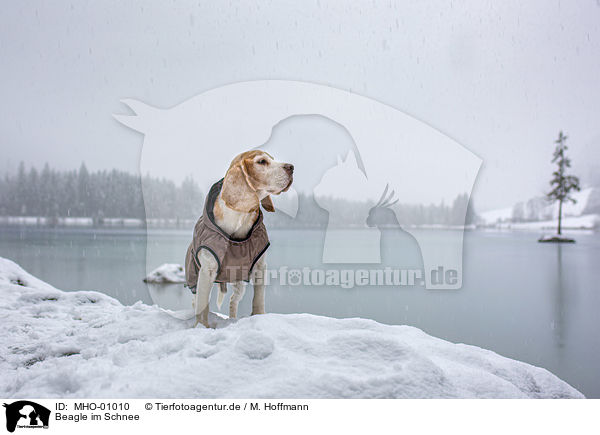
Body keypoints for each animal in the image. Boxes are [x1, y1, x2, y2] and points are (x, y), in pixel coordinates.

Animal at [184, 150, 294, 328]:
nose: (291, 167)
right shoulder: (206, 271)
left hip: (239, 281)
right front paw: (201, 327)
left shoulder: (260, 267)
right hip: (194, 279)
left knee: (232, 301)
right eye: (262, 161)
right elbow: (202, 306)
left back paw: (233, 319)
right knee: (196, 301)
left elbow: (258, 299)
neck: (240, 217)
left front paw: (259, 317)